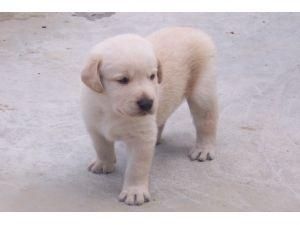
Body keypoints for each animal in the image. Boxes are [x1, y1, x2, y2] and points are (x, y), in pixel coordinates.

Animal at [81, 26, 218, 206]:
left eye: (152, 76)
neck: (112, 108)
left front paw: (134, 192)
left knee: (207, 121)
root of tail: (190, 28)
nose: (147, 103)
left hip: (202, 92)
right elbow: (102, 148)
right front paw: (103, 163)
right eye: (123, 80)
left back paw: (204, 149)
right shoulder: (95, 126)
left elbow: (136, 167)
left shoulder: (141, 138)